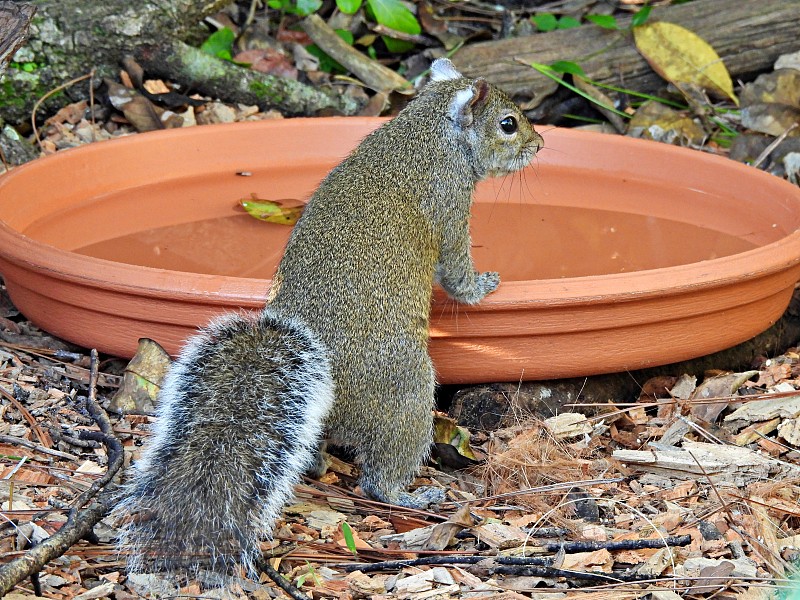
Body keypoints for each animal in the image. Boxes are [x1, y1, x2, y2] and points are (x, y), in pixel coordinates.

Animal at [112, 58, 544, 580]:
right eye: (508, 124)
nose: (540, 144)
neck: (426, 134)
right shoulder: (450, 207)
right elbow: (457, 273)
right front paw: (483, 285)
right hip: (405, 392)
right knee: (380, 474)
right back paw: (412, 495)